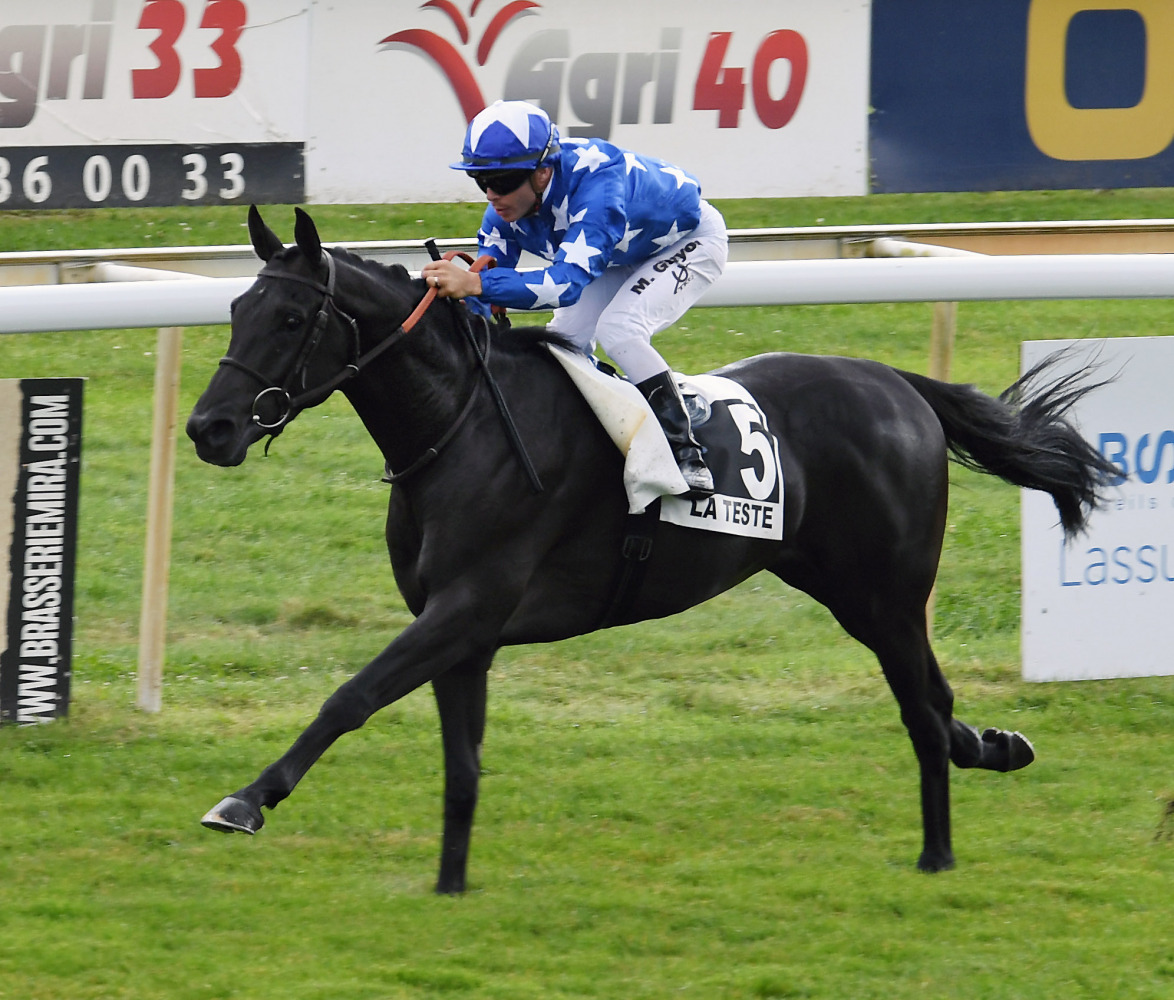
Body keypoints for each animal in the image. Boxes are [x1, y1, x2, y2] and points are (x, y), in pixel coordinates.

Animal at [187, 206, 1112, 896]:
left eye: (293, 317)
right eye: (235, 311)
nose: (210, 428)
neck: (462, 426)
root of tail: (901, 386)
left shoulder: (467, 607)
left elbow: (350, 696)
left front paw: (246, 799)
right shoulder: (461, 632)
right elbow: (462, 765)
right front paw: (450, 884)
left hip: (883, 594)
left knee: (921, 706)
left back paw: (938, 851)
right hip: (842, 585)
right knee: (935, 698)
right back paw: (991, 748)